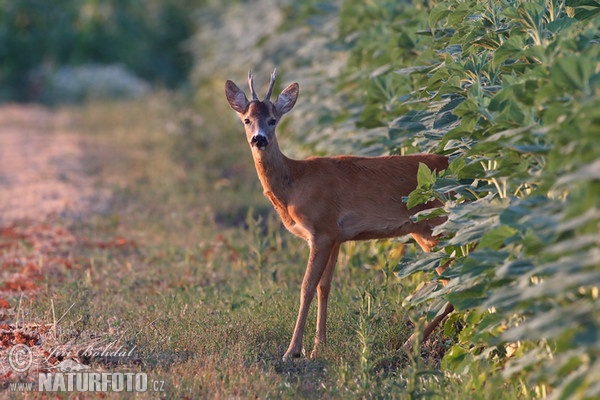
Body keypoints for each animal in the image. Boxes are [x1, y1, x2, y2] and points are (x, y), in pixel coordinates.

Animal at [225, 69, 454, 362]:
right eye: (247, 120)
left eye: (273, 120)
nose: (259, 139)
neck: (294, 184)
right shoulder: (336, 236)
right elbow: (324, 287)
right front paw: (319, 345)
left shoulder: (321, 229)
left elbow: (306, 287)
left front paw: (293, 350)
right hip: (427, 232)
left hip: (439, 227)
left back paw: (407, 346)